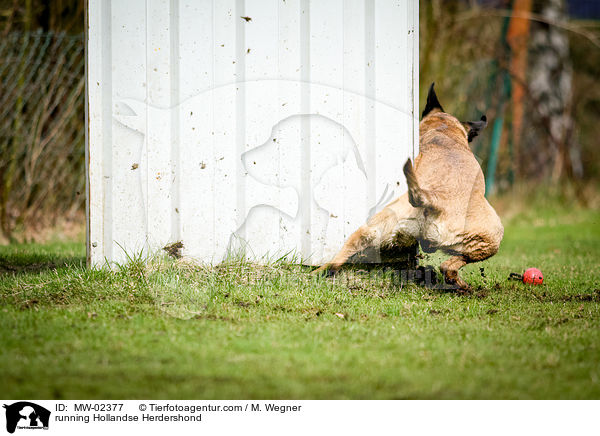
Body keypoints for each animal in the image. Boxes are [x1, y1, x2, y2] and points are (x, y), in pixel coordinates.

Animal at [314, 84, 502, 292]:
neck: (444, 129)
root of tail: (435, 199)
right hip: (491, 237)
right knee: (449, 266)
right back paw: (460, 285)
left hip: (375, 227)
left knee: (339, 258)